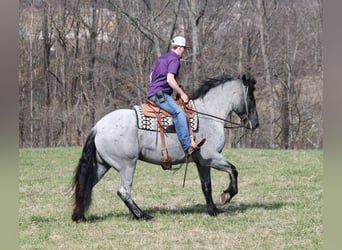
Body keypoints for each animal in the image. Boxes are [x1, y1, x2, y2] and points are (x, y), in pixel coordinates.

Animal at [72, 73, 260, 221]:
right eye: (251, 98)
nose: (255, 123)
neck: (209, 115)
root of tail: (98, 127)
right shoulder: (211, 157)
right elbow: (233, 170)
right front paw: (227, 195)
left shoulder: (202, 162)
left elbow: (207, 186)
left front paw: (213, 210)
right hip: (127, 165)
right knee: (123, 191)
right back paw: (142, 215)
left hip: (102, 165)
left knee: (86, 186)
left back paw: (79, 216)